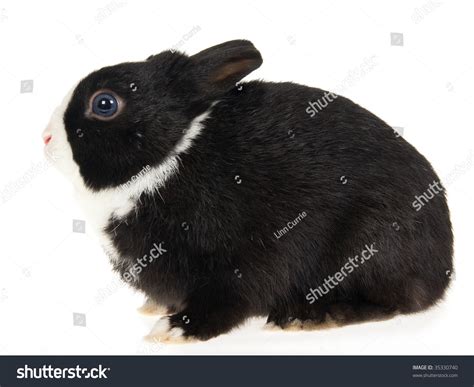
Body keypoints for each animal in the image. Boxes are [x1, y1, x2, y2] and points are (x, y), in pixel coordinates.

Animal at [43, 39, 452, 342]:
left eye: (105, 103)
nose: (45, 139)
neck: (166, 159)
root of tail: (444, 269)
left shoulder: (236, 262)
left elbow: (227, 301)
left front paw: (175, 329)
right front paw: (156, 308)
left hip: (368, 245)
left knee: (390, 302)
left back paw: (308, 317)